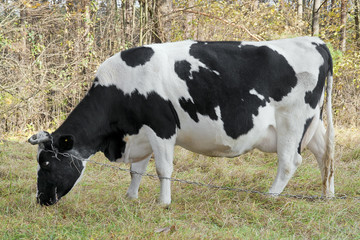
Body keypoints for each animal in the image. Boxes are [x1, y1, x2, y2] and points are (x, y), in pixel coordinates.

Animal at [28, 36, 334, 205]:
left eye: (47, 163)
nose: (42, 200)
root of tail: (313, 40)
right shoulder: (141, 133)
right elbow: (137, 170)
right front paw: (131, 197)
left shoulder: (161, 127)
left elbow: (163, 168)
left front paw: (163, 203)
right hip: (314, 125)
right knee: (325, 155)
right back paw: (327, 195)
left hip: (293, 122)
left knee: (290, 162)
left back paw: (269, 197)